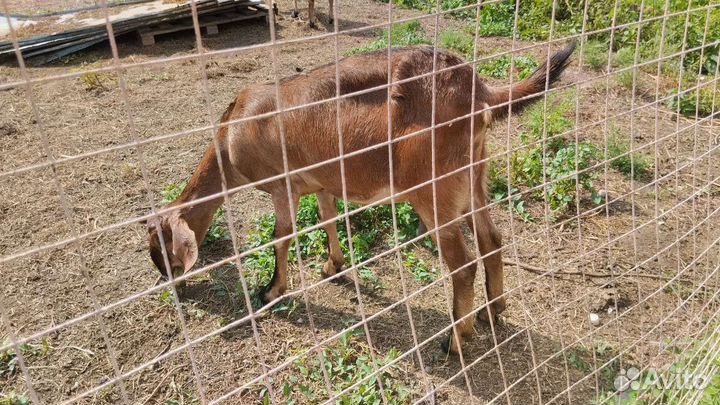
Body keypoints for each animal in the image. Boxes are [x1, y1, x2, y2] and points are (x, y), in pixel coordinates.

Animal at [148, 43, 576, 354]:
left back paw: (456, 341)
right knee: (492, 240)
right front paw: (332, 266)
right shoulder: (321, 184)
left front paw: (271, 289)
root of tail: (475, 88)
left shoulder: (282, 187)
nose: (170, 281)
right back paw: (494, 311)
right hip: (473, 178)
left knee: (463, 265)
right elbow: (328, 219)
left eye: (159, 243)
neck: (232, 131)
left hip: (434, 191)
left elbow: (281, 236)